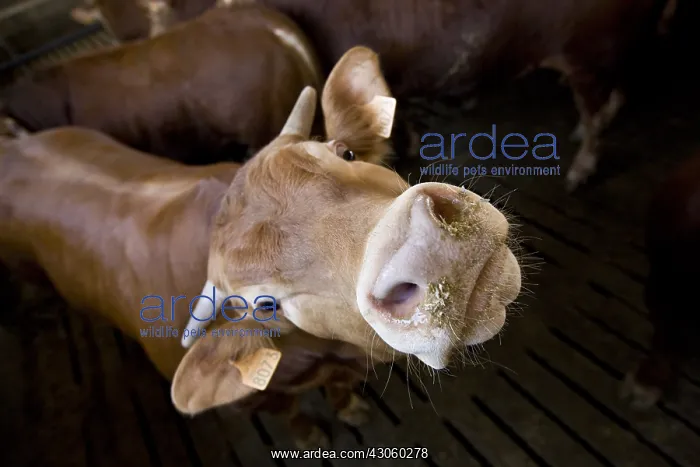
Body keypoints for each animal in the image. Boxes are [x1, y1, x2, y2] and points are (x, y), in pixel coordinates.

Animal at [0, 46, 522, 447]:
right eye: (267, 305)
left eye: (345, 152)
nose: (429, 250)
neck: (328, 353)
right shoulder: (261, 398)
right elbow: (289, 410)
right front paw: (310, 435)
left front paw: (350, 409)